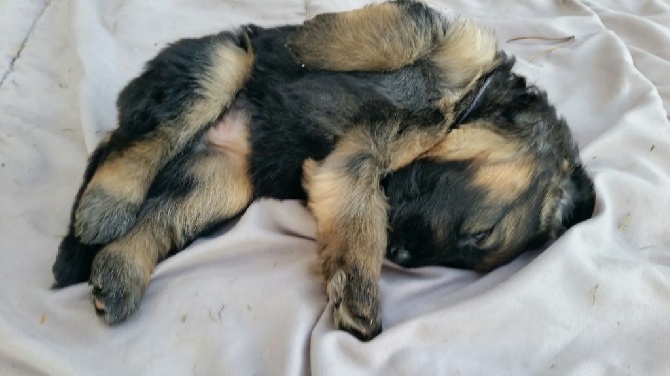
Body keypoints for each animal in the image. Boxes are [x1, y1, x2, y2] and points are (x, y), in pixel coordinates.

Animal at [53, 0, 600, 340]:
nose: (402, 254)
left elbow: (357, 222)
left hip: (221, 180)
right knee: (137, 143)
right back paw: (105, 207)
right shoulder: (446, 39)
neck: (461, 111)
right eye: (481, 233)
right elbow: (400, 32)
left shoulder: (351, 163)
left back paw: (119, 273)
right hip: (217, 67)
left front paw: (355, 293)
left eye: (473, 248)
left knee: (157, 216)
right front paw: (304, 41)